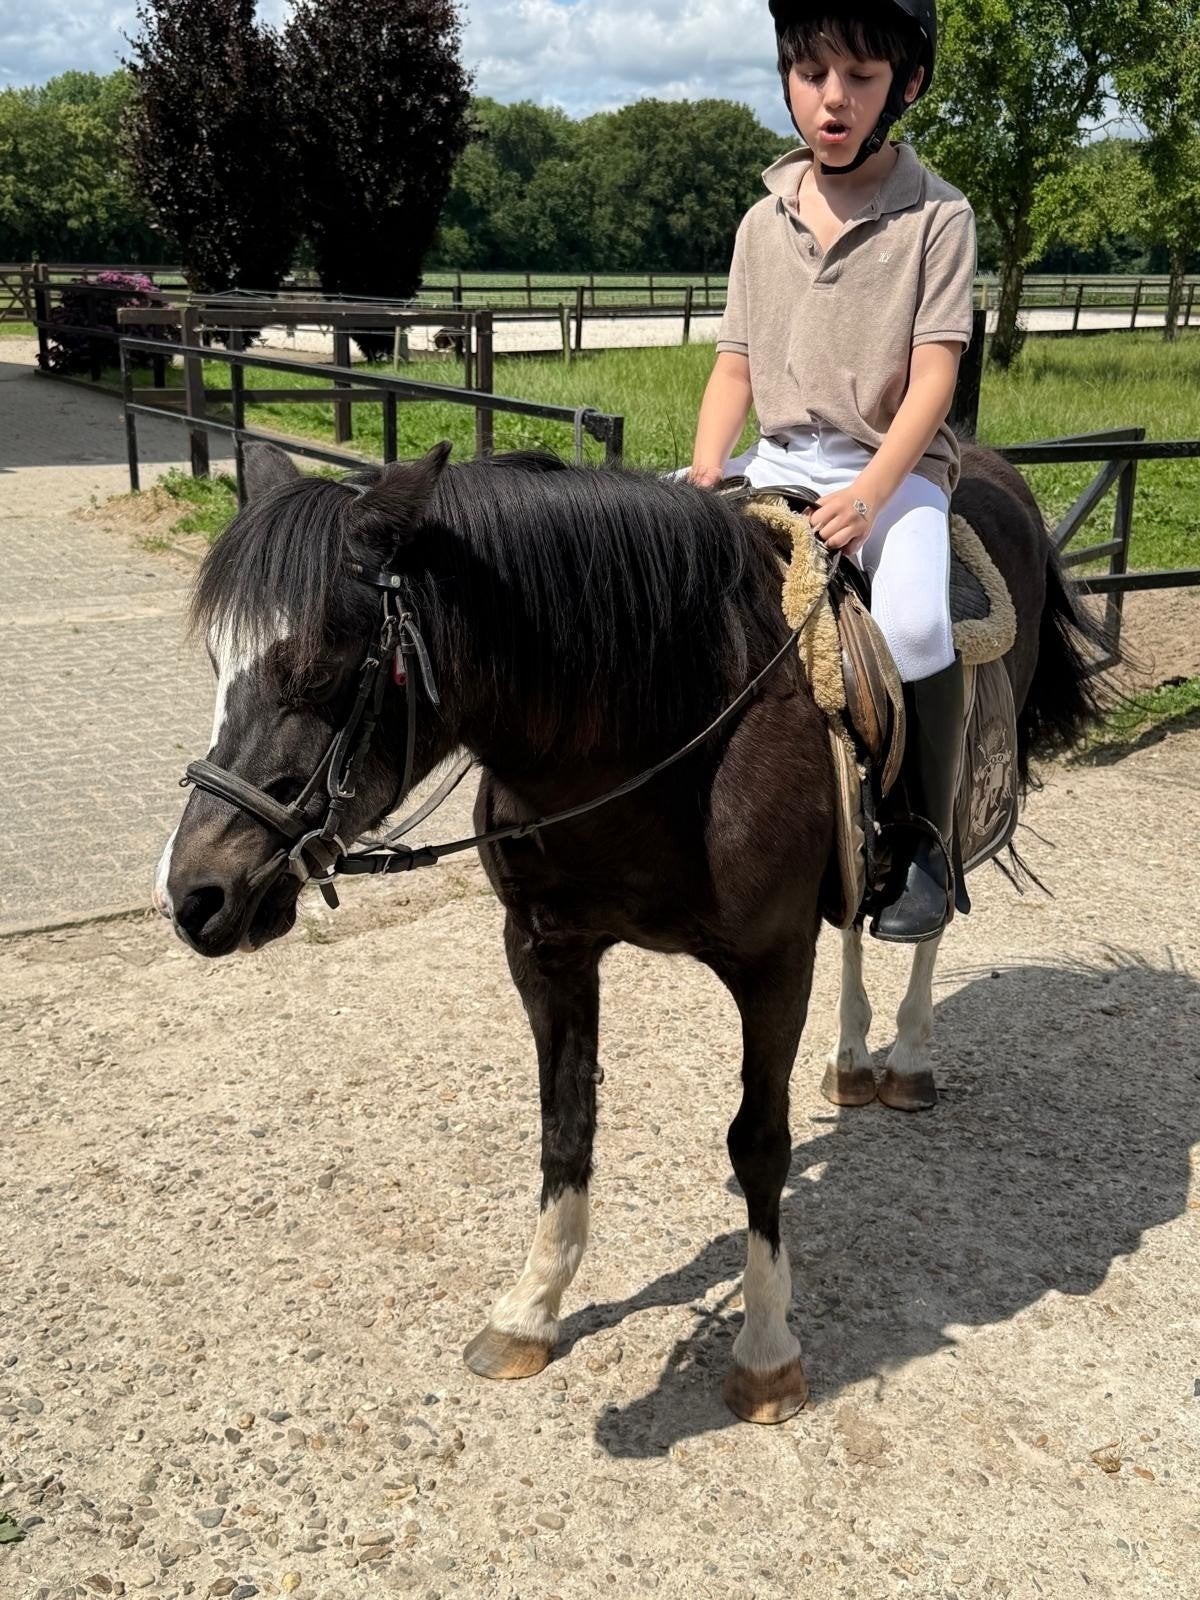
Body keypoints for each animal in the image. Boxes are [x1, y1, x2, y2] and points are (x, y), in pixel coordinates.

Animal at [153, 438, 1107, 1424]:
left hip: (949, 814)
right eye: (220, 662)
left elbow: (757, 1143)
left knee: (925, 921)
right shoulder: (546, 950)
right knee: (855, 920)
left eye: (320, 667)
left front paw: (766, 1349)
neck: (667, 729)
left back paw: (908, 1058)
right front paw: (531, 1310)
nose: (195, 895)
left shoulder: (774, 965)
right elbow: (565, 1124)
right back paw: (850, 1061)